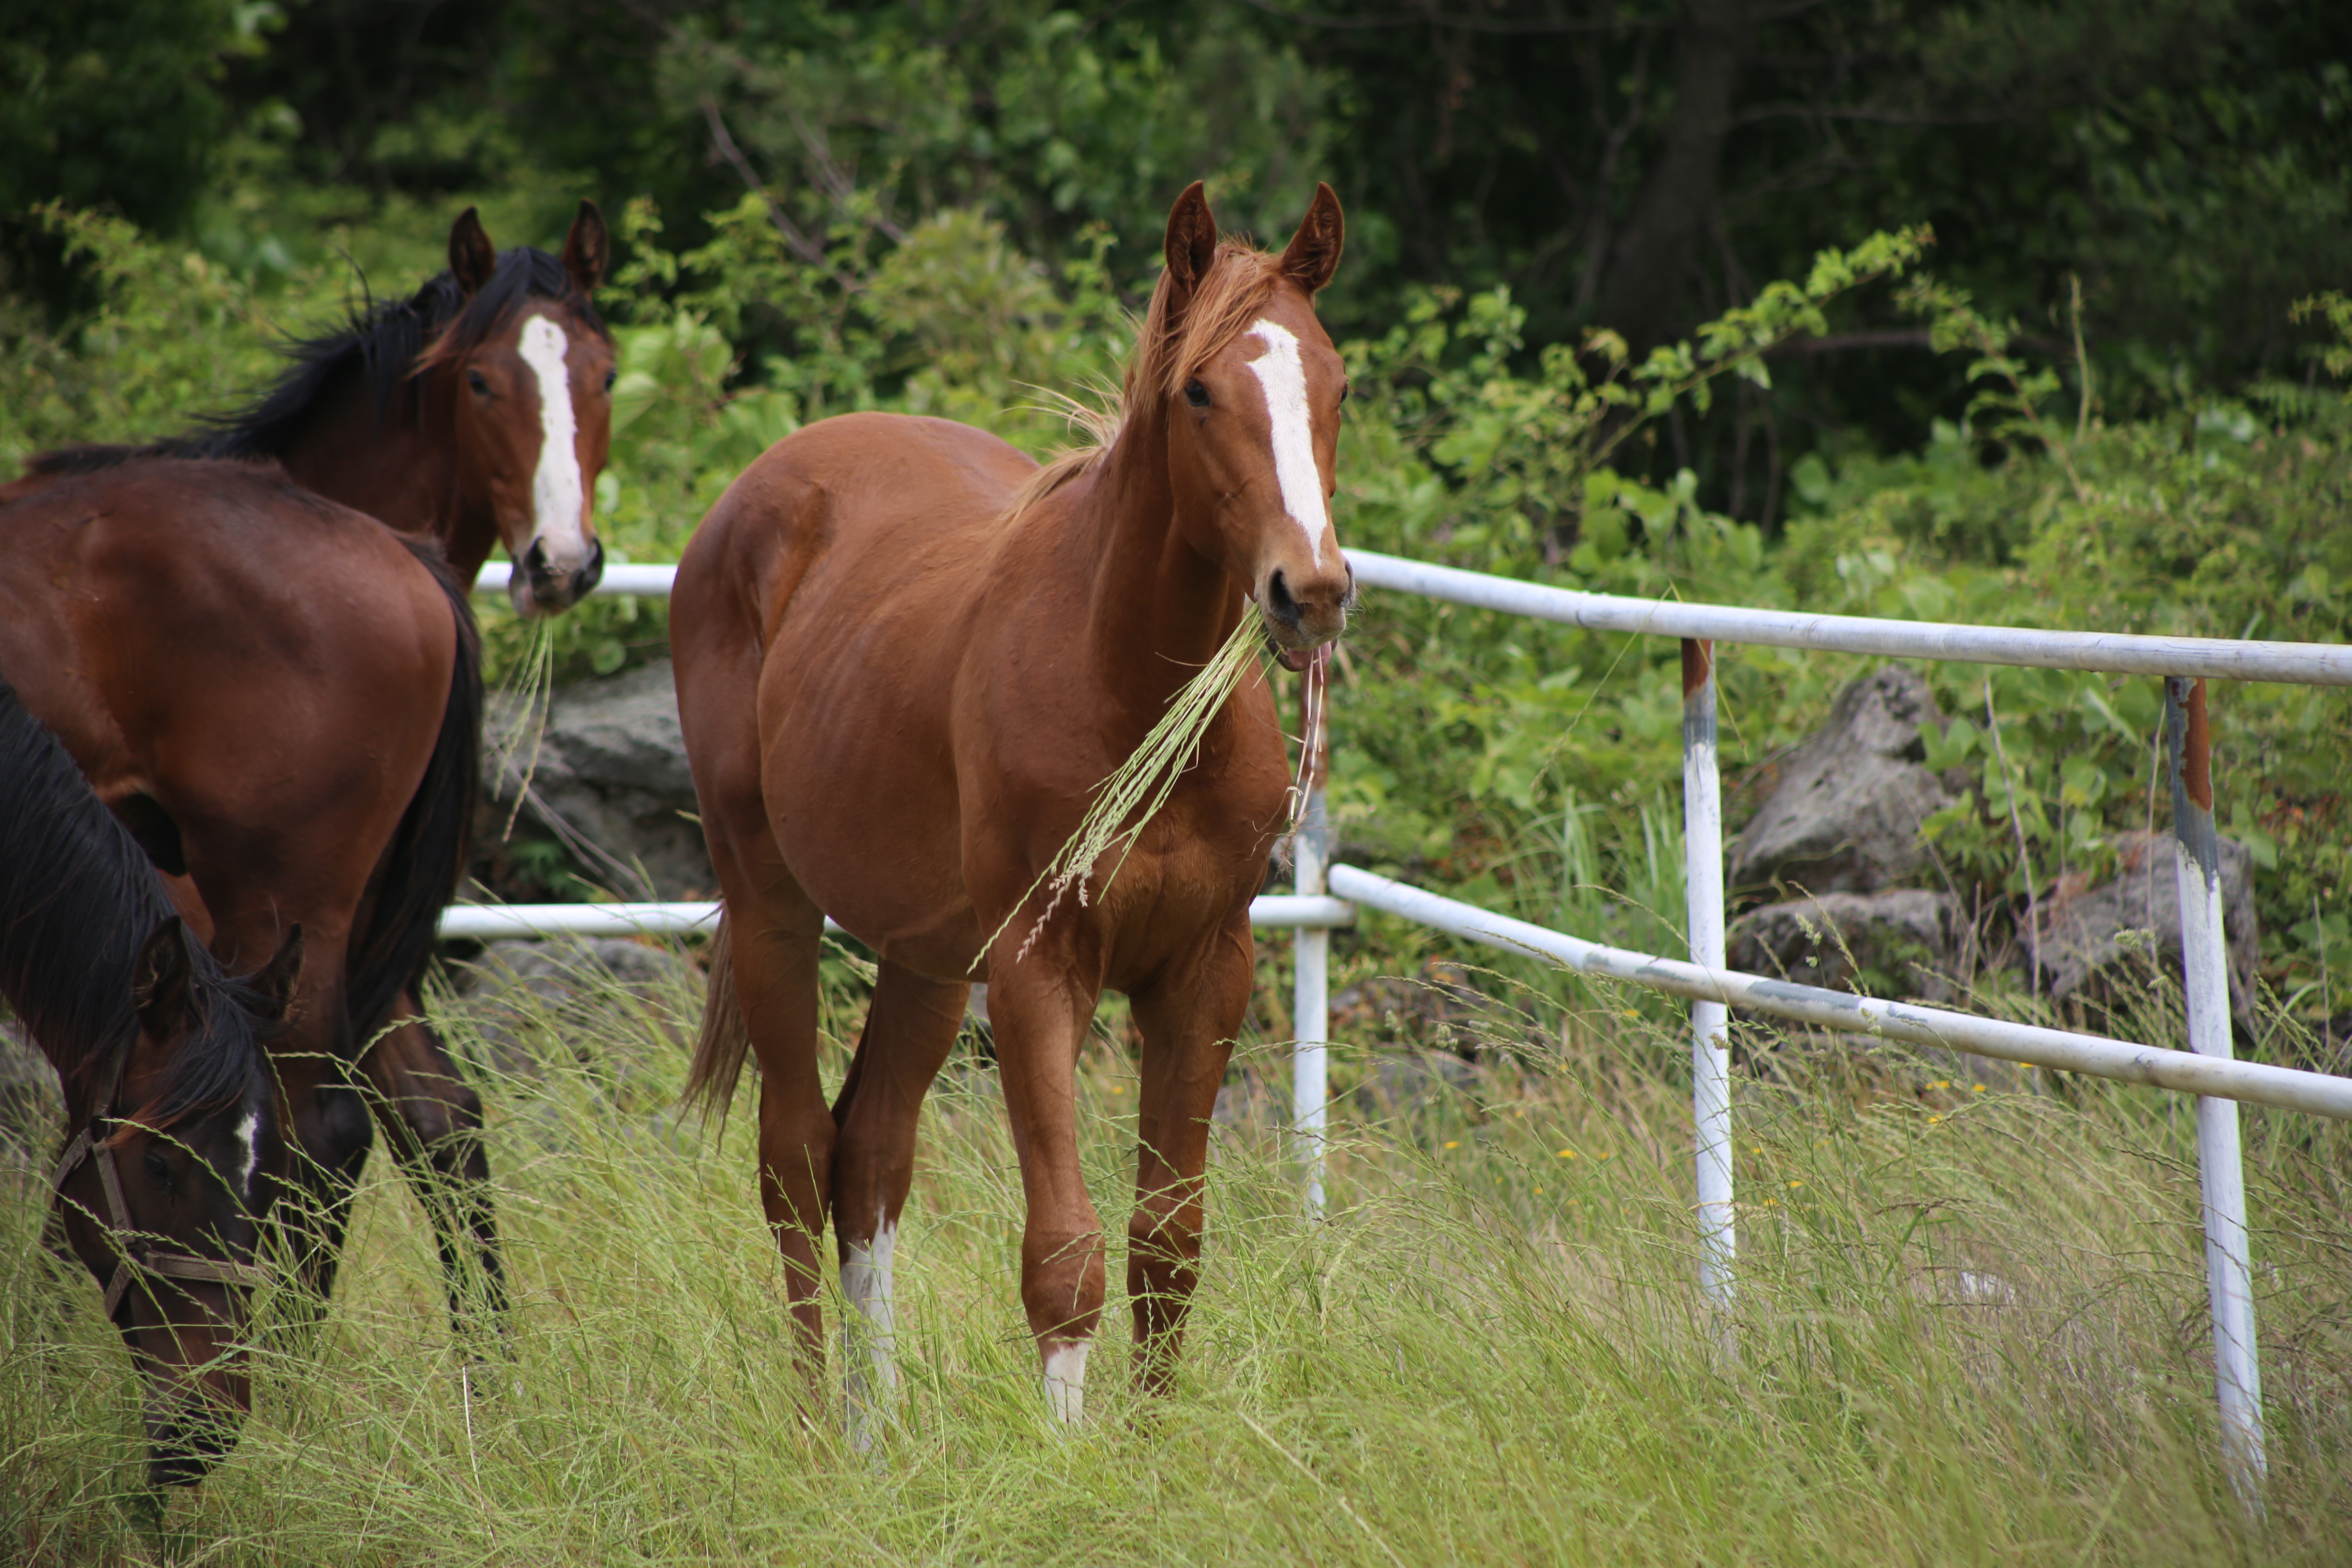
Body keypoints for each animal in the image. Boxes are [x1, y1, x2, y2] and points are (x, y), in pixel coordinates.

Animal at [0, 461, 480, 1345]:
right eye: (157, 1168)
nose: (208, 1367)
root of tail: (403, 552)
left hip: (285, 899)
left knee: (328, 1129)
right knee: (439, 1116)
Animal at [673, 181, 1354, 1439]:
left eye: (1335, 385)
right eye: (1199, 391)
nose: (1312, 592)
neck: (1129, 692)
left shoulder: (1206, 969)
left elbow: (1166, 1242)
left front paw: (1149, 1448)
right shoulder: (1042, 970)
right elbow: (1064, 1253)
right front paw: (1068, 1456)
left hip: (927, 959)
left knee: (868, 1159)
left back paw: (877, 1433)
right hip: (771, 906)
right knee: (792, 1158)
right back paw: (816, 1434)